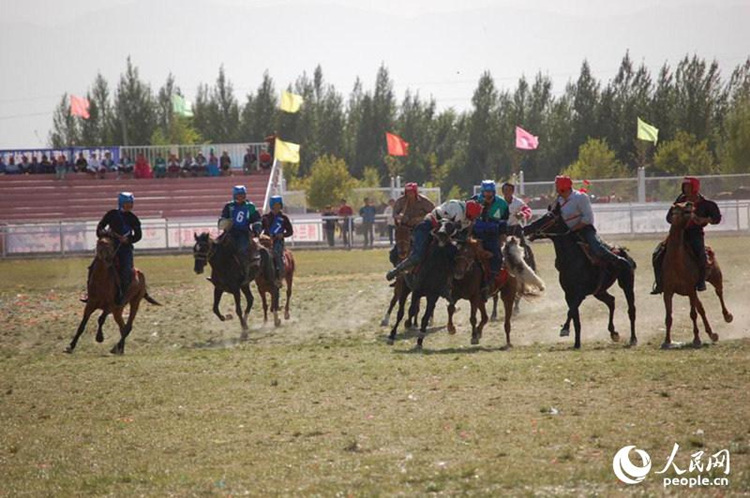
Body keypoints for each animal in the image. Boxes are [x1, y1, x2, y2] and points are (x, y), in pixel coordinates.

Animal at [524, 204, 640, 348]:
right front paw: (576, 343)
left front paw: (564, 329)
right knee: (611, 301)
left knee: (631, 310)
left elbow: (571, 311)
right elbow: (575, 317)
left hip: (627, 284)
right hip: (599, 291)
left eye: (548, 217)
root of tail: (625, 254)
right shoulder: (569, 294)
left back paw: (633, 339)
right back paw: (613, 333)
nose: (526, 228)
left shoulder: (580, 294)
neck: (573, 258)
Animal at [664, 201, 736, 346]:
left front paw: (696, 339)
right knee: (701, 308)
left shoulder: (691, 289)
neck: (676, 263)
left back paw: (727, 316)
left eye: (688, 209)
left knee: (719, 292)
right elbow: (669, 317)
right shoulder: (667, 291)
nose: (689, 203)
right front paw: (667, 341)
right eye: (676, 208)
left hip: (715, 277)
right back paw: (712, 334)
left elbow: (693, 314)